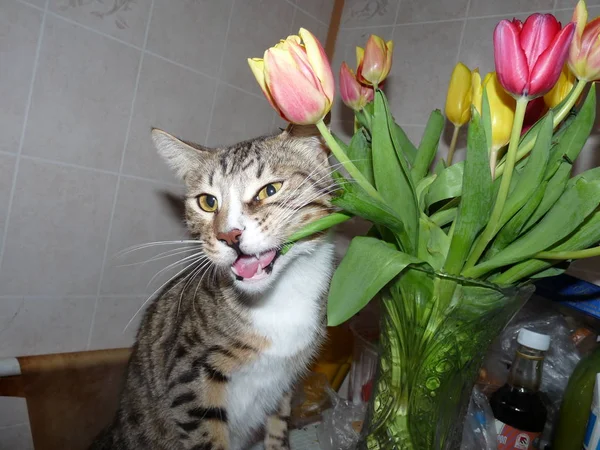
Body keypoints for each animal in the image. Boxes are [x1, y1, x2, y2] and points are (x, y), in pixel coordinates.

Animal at [91, 124, 340, 450]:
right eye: (208, 202)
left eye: (270, 190)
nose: (229, 235)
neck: (280, 294)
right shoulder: (189, 376)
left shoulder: (287, 377)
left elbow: (278, 422)